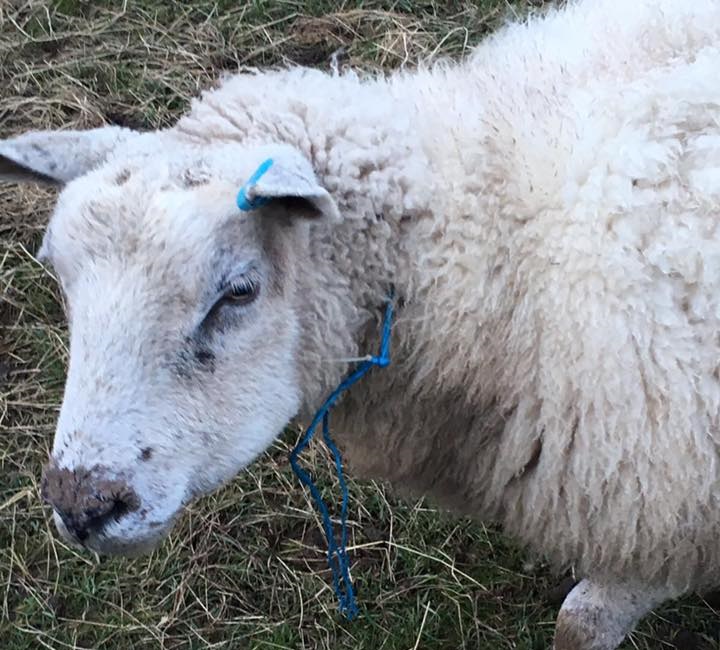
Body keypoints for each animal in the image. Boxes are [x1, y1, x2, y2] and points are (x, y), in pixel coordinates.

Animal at [1, 0, 720, 644]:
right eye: (62, 279)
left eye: (239, 292)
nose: (81, 506)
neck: (501, 235)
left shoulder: (669, 510)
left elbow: (582, 624)